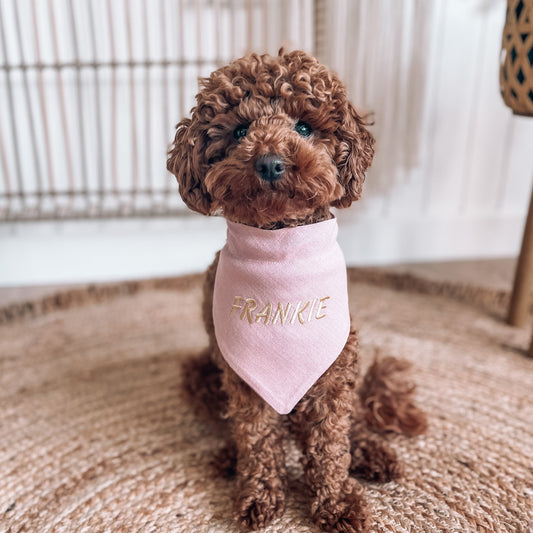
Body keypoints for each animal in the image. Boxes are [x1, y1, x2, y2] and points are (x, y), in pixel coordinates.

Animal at [168, 48, 426, 528]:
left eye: (304, 127)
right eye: (240, 130)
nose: (271, 163)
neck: (280, 244)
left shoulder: (333, 373)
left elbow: (329, 446)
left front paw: (337, 503)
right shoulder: (244, 381)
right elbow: (256, 439)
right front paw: (258, 496)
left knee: (350, 426)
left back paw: (371, 453)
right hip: (202, 374)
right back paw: (229, 457)